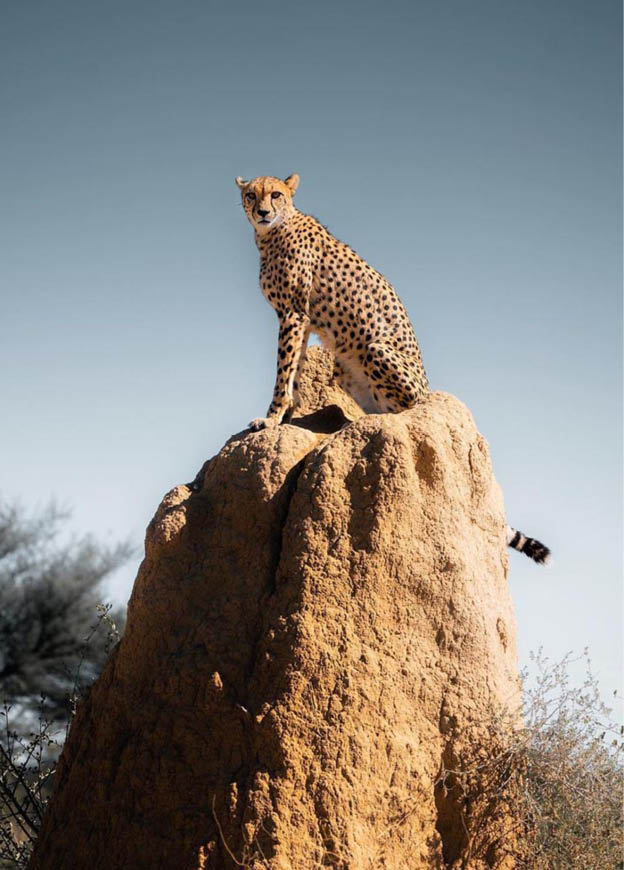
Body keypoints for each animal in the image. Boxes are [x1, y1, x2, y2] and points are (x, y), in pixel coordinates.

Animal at [235, 172, 551, 565]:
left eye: (276, 194)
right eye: (251, 195)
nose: (263, 211)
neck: (273, 233)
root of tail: (429, 391)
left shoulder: (293, 314)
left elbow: (283, 371)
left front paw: (271, 418)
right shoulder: (301, 320)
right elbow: (294, 369)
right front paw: (290, 414)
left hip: (374, 350)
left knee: (400, 411)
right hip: (345, 367)